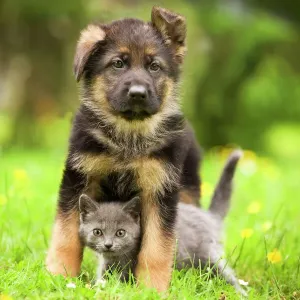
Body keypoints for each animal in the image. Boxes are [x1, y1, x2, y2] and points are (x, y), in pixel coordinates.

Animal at [46, 7, 202, 292]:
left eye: (154, 66)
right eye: (118, 64)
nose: (138, 93)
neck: (127, 136)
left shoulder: (159, 191)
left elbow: (157, 247)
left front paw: (152, 289)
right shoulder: (77, 180)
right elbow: (66, 234)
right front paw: (59, 277)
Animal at [79, 151, 246, 296]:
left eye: (120, 233)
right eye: (97, 232)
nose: (108, 244)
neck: (115, 258)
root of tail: (209, 216)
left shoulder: (131, 264)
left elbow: (122, 281)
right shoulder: (106, 265)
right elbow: (103, 278)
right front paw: (98, 287)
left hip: (208, 256)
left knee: (227, 274)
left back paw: (241, 293)